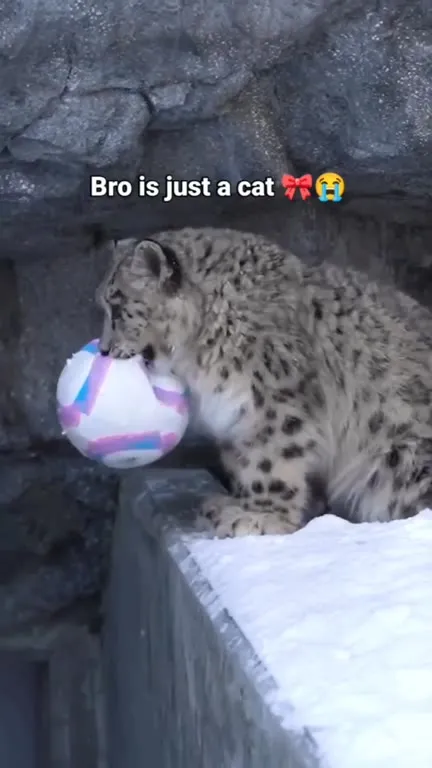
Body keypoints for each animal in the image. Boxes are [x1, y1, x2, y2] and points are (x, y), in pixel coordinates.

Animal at [95, 226, 432, 538]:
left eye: (117, 307)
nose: (104, 349)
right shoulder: (233, 421)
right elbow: (242, 461)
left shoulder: (275, 403)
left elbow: (268, 461)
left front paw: (258, 517)